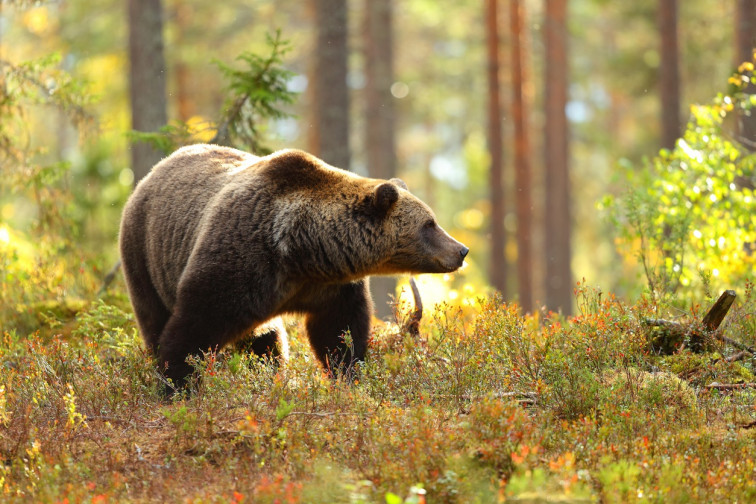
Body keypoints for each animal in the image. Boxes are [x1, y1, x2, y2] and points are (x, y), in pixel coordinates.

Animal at [119, 144, 466, 388]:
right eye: (429, 224)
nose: (461, 250)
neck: (301, 251)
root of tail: (151, 173)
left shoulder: (329, 287)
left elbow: (338, 332)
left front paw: (348, 374)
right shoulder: (239, 259)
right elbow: (194, 324)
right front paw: (178, 383)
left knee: (265, 341)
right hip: (145, 255)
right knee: (153, 316)